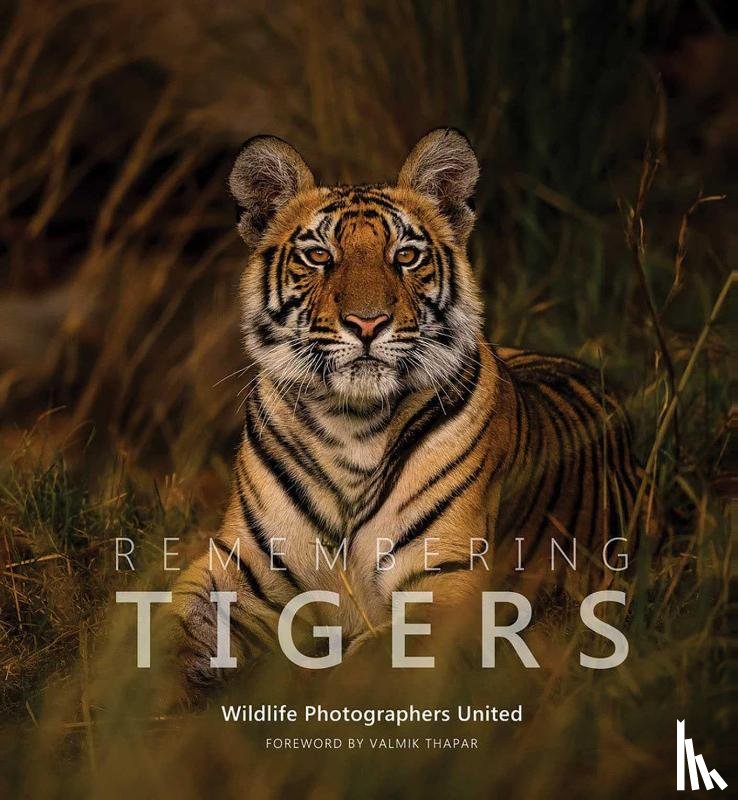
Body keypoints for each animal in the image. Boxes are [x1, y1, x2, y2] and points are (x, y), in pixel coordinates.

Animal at [168, 128, 643, 697]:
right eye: (319, 255)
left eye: (407, 256)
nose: (367, 323)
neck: (349, 423)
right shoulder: (240, 567)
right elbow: (171, 629)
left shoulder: (443, 585)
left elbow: (362, 669)